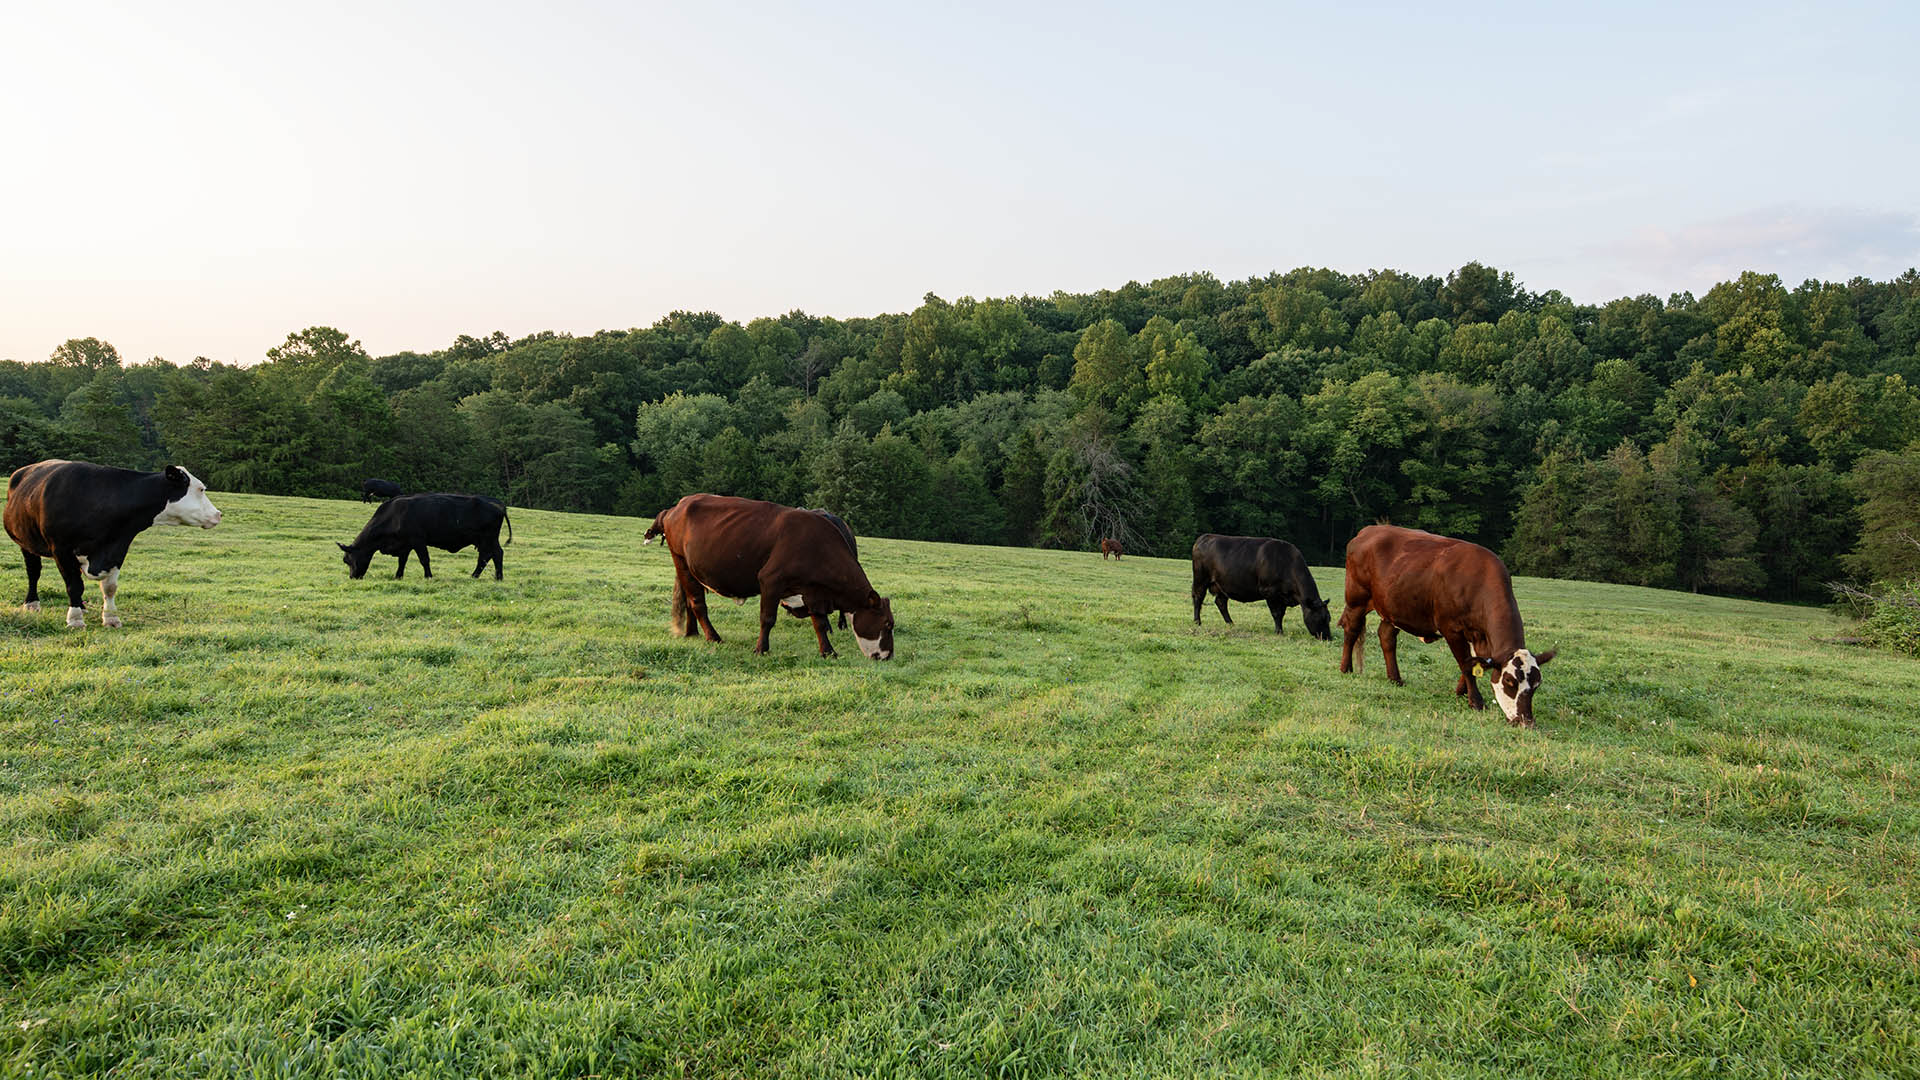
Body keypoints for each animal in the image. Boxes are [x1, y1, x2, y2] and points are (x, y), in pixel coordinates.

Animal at [4, 457, 222, 626]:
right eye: (201, 489)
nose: (218, 514)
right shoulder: (61, 549)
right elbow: (73, 585)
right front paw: (75, 619)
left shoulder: (118, 547)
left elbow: (109, 587)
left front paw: (110, 618)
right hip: (25, 543)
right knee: (34, 572)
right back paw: (32, 604)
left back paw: (81, 606)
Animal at [339, 495, 514, 580]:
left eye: (346, 560)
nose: (352, 577)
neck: (394, 515)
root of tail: (498, 505)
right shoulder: (405, 544)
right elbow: (402, 561)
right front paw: (398, 576)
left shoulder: (417, 540)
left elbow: (424, 559)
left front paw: (428, 576)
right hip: (484, 540)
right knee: (486, 556)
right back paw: (477, 576)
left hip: (489, 538)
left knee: (496, 554)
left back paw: (497, 577)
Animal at [641, 488, 887, 657]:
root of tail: (675, 508)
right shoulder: (770, 580)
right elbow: (768, 618)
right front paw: (761, 649)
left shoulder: (812, 590)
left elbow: (819, 620)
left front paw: (828, 649)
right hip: (681, 561)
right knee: (697, 603)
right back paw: (713, 637)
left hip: (690, 569)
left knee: (690, 600)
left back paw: (692, 632)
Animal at [1190, 530, 1328, 638]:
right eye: (1321, 618)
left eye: (1328, 618)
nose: (1328, 637)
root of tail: (1205, 537)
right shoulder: (1270, 592)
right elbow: (1276, 613)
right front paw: (1279, 632)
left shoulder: (1282, 596)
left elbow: (1281, 613)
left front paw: (1280, 630)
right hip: (1200, 579)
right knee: (1198, 598)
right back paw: (1197, 622)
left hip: (1222, 584)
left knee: (1221, 602)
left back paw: (1231, 623)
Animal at [1336, 522, 1559, 722]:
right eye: (1509, 681)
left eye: (1536, 685)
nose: (1525, 721)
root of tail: (1370, 529)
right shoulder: (1451, 629)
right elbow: (1466, 664)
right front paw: (1476, 701)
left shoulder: (1480, 636)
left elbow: (1472, 662)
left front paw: (1461, 691)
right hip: (1357, 598)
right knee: (1352, 629)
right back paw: (1346, 669)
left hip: (1392, 606)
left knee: (1387, 637)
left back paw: (1395, 678)